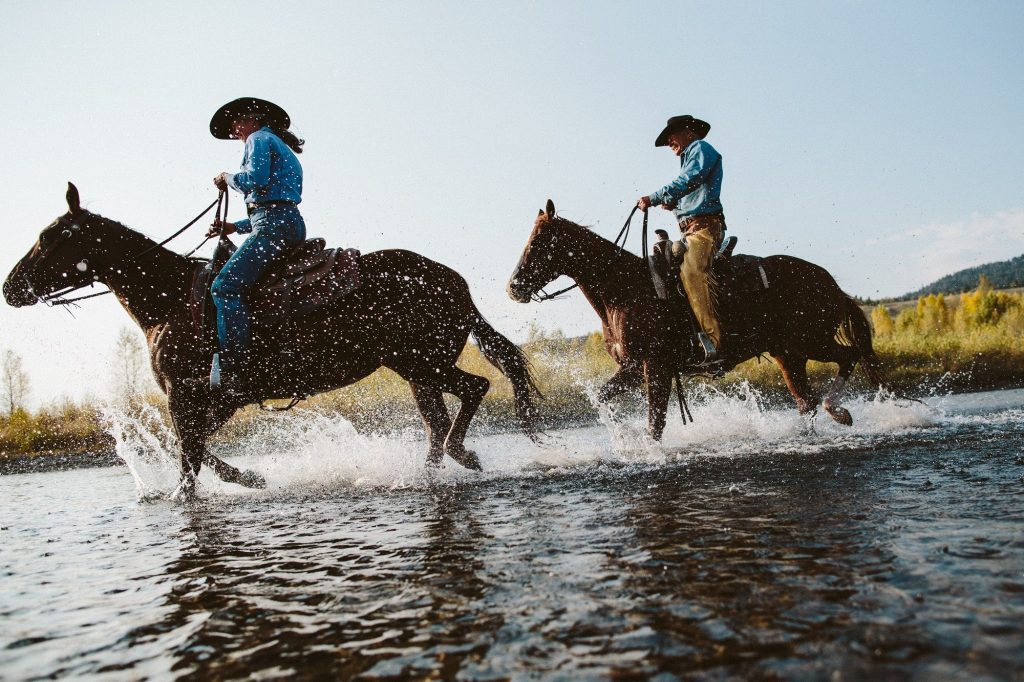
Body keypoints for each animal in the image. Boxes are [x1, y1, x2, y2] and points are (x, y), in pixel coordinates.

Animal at [6, 183, 536, 491]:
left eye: (50, 236)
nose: (10, 287)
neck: (169, 300)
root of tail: (455, 281)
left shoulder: (187, 395)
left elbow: (188, 457)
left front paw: (195, 494)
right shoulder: (215, 399)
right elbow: (196, 449)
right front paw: (251, 477)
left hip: (421, 361)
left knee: (474, 389)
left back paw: (462, 454)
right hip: (415, 368)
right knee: (436, 419)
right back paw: (428, 472)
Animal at [503, 199, 880, 438]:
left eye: (538, 242)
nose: (513, 287)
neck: (624, 289)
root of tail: (830, 283)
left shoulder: (654, 366)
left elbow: (655, 422)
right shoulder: (631, 368)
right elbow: (602, 398)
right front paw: (623, 436)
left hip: (810, 342)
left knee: (848, 358)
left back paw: (839, 411)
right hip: (789, 355)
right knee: (806, 402)